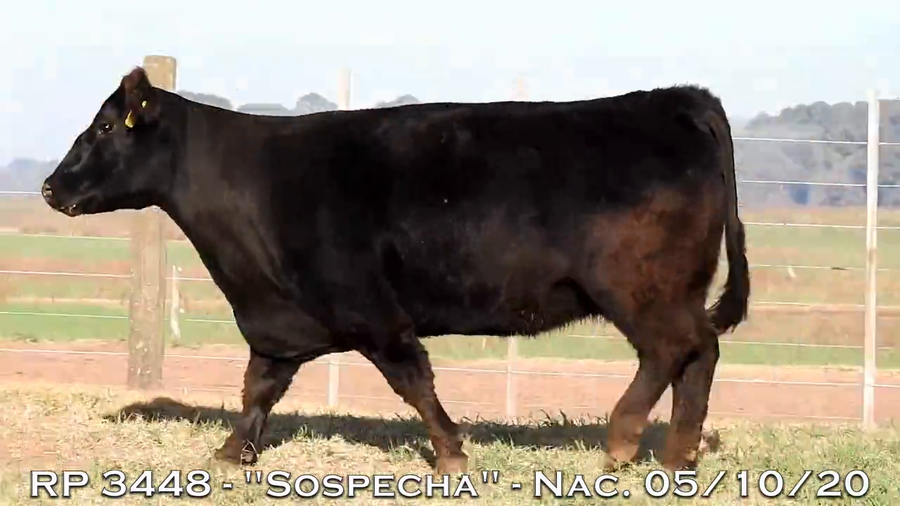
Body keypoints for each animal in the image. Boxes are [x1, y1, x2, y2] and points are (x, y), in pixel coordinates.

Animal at [41, 66, 749, 474]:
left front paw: (452, 455)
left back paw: (623, 439)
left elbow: (414, 382)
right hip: (674, 290)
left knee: (673, 349)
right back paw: (678, 456)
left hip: (638, 288)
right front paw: (229, 455)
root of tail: (676, 100)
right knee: (699, 355)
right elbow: (258, 389)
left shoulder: (374, 313)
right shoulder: (278, 322)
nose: (50, 187)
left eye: (105, 127)